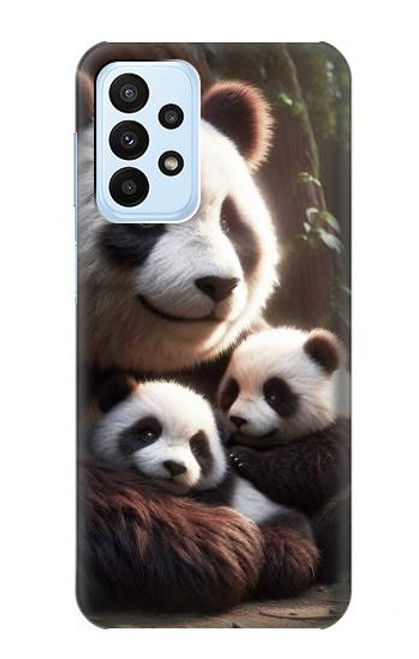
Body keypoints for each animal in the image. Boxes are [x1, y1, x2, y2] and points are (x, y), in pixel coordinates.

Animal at [217, 326, 350, 581]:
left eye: (274, 396)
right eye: (233, 391)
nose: (238, 420)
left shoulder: (343, 432)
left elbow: (312, 467)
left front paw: (241, 458)